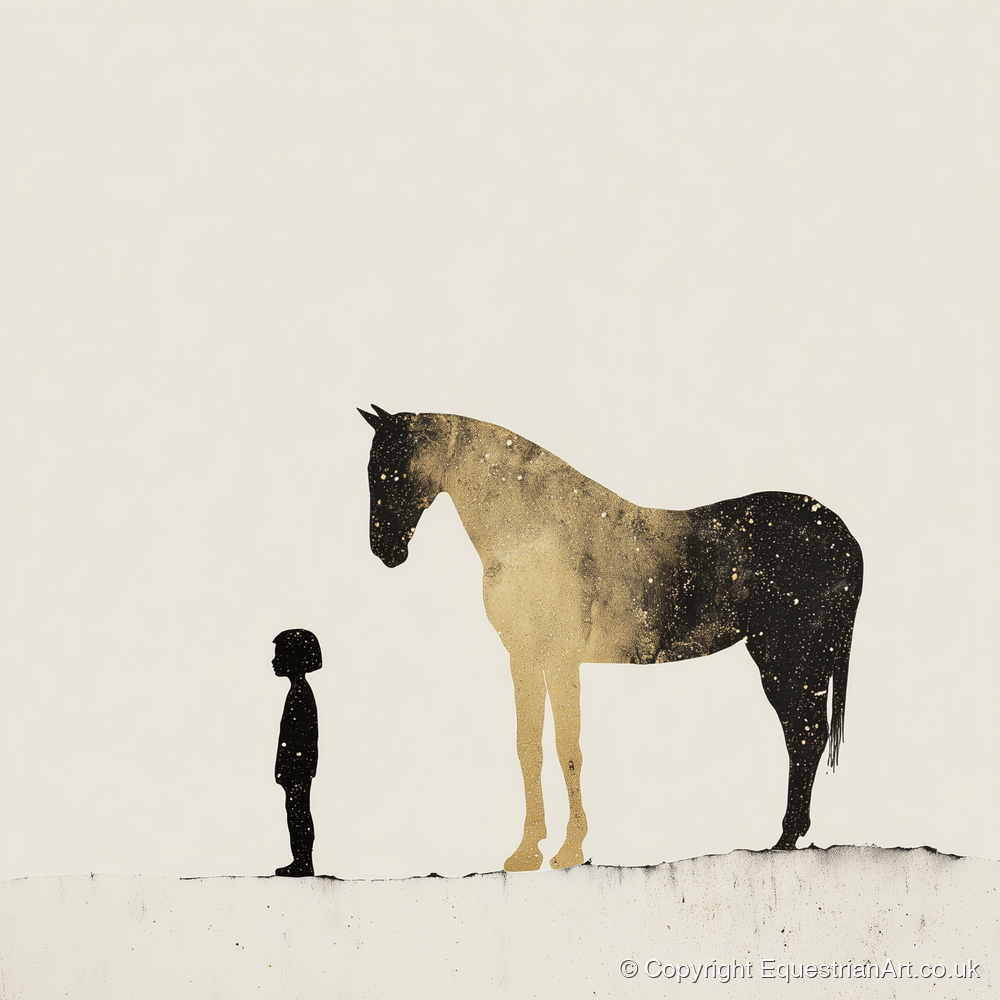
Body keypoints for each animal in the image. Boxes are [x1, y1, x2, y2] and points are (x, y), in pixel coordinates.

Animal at [358, 405, 863, 871]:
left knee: (804, 736)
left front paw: (569, 850)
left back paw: (784, 840)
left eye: (393, 467)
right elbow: (529, 748)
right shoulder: (525, 658)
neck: (532, 529)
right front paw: (527, 853)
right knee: (805, 736)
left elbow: (567, 749)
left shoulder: (559, 659)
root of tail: (842, 535)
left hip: (789, 659)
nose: (385, 551)